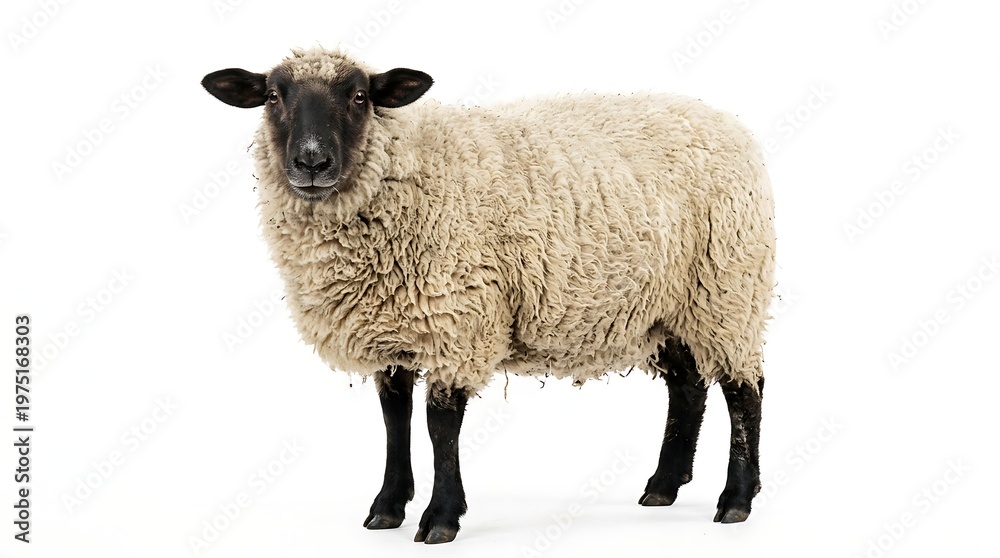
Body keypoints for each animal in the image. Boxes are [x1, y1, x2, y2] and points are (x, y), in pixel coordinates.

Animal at [202, 46, 775, 544]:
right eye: (272, 96)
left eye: (360, 95)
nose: (312, 162)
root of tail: (722, 120)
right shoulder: (391, 328)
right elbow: (393, 418)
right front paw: (388, 506)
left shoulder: (459, 319)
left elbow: (440, 426)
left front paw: (440, 517)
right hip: (669, 306)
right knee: (688, 387)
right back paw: (663, 486)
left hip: (727, 291)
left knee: (744, 390)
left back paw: (736, 499)